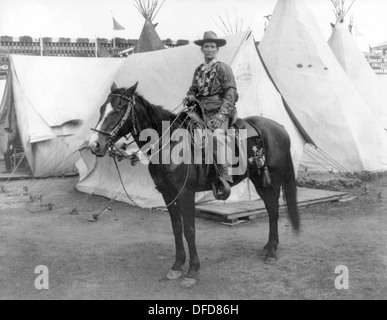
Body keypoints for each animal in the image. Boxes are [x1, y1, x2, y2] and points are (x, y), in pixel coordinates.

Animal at [88, 82, 300, 288]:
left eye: (118, 108)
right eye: (101, 109)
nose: (94, 145)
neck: (169, 145)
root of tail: (280, 128)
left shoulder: (185, 194)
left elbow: (189, 231)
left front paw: (192, 271)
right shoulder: (168, 194)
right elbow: (176, 229)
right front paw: (177, 266)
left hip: (271, 180)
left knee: (274, 209)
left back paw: (272, 252)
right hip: (258, 180)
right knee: (271, 208)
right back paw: (268, 247)